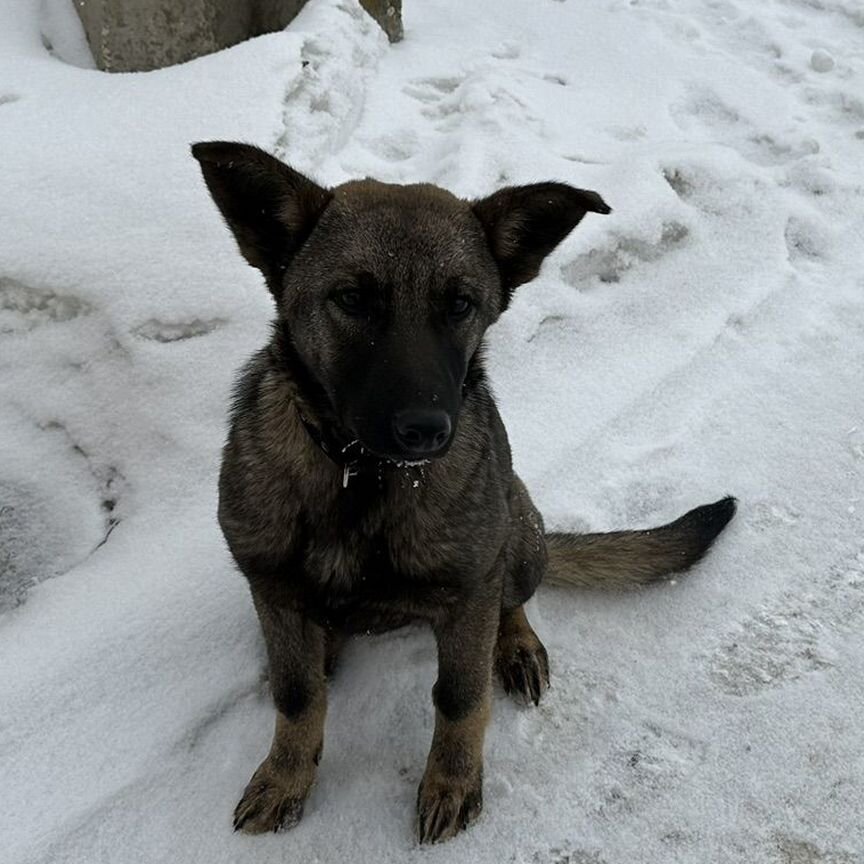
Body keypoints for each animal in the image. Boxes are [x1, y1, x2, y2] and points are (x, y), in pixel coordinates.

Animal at [191, 142, 736, 844]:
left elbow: (459, 697)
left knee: (512, 600)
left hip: (518, 533)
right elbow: (297, 695)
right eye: (351, 299)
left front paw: (451, 783)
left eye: (460, 305)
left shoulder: (469, 587)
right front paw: (287, 777)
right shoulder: (274, 590)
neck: (363, 478)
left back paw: (518, 647)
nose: (427, 430)